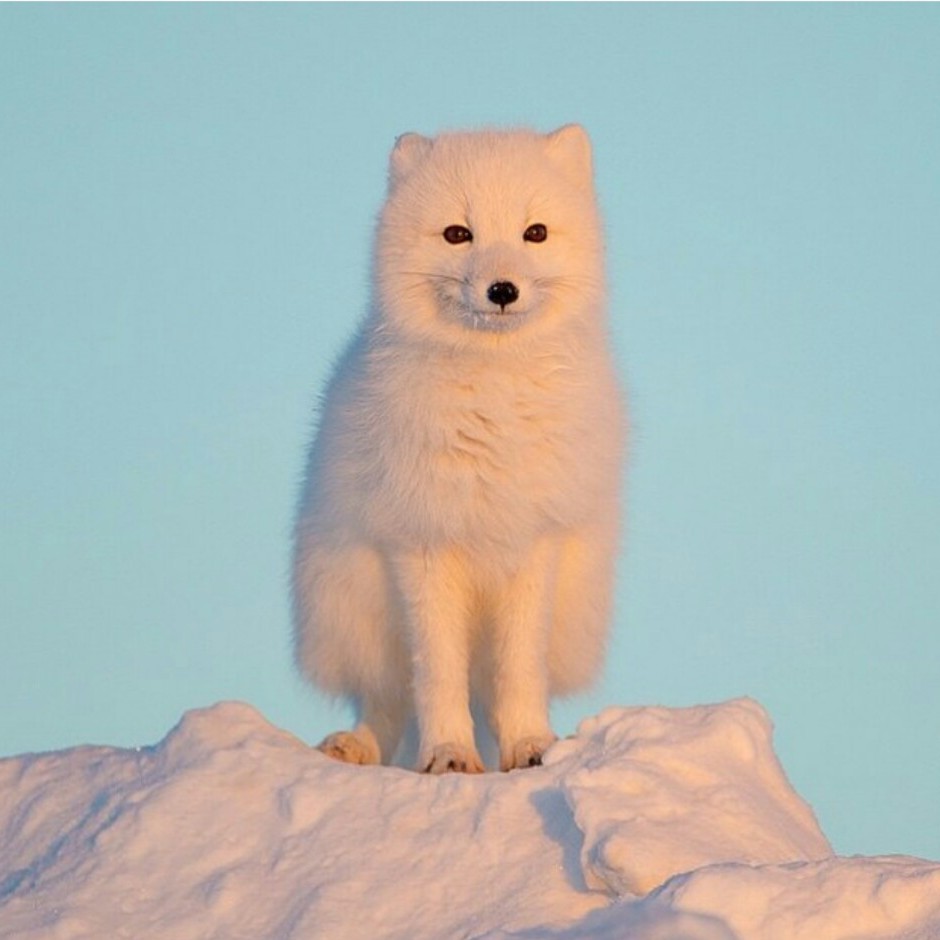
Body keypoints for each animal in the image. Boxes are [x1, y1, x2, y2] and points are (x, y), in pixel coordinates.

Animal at [294, 125, 624, 772]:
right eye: (457, 233)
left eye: (534, 232)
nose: (502, 290)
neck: (493, 404)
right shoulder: (422, 542)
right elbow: (438, 672)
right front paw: (447, 755)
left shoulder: (535, 540)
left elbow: (518, 668)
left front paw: (529, 746)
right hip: (357, 613)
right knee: (387, 698)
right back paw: (356, 746)